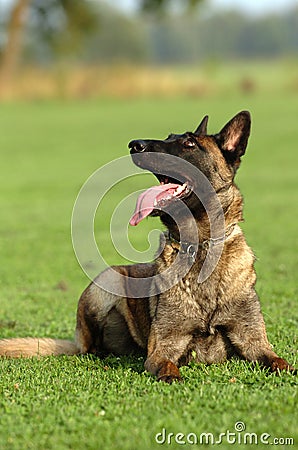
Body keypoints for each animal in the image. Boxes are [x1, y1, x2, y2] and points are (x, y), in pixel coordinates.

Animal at [0, 110, 294, 382]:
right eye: (168, 137)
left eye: (189, 143)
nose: (135, 144)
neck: (201, 245)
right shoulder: (163, 347)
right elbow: (167, 366)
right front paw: (173, 376)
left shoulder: (255, 342)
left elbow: (279, 362)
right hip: (107, 282)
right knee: (89, 348)